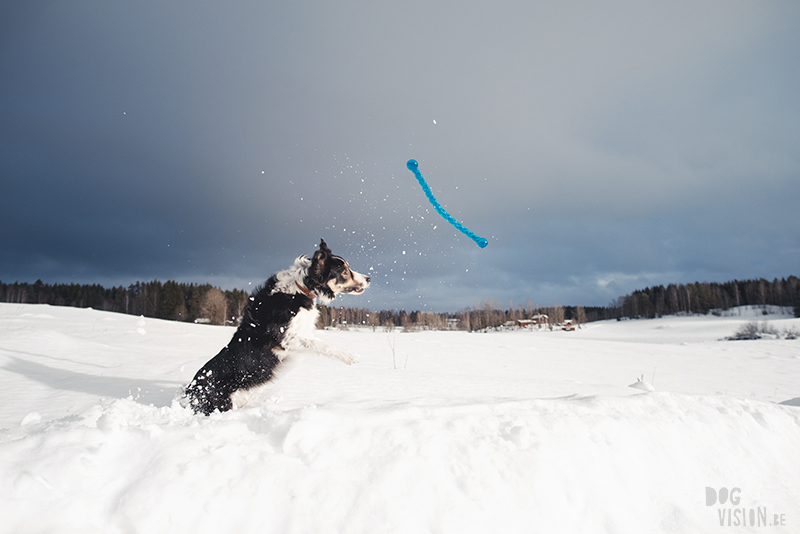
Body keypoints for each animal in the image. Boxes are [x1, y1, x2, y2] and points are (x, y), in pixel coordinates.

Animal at [187, 241, 372, 416]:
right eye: (345, 271)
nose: (369, 278)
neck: (301, 289)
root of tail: (190, 391)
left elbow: (316, 341)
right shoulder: (284, 339)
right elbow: (321, 344)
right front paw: (349, 356)